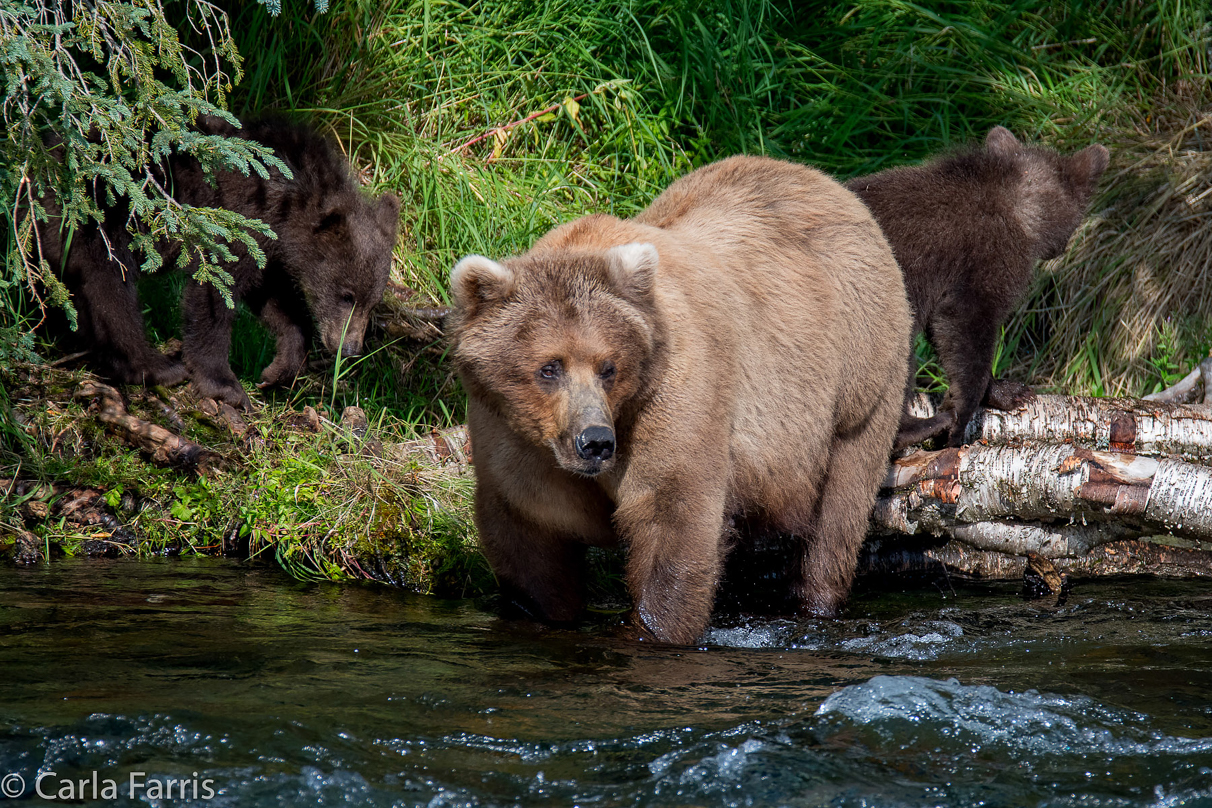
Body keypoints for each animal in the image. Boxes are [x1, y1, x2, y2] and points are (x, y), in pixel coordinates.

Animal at [453, 155, 911, 639]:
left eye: (608, 367)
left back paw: (815, 602)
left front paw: (653, 629)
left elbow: (672, 514)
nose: (595, 441)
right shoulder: (509, 430)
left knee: (838, 510)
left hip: (857, 374)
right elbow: (530, 537)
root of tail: (824, 181)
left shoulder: (673, 392)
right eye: (549, 367)